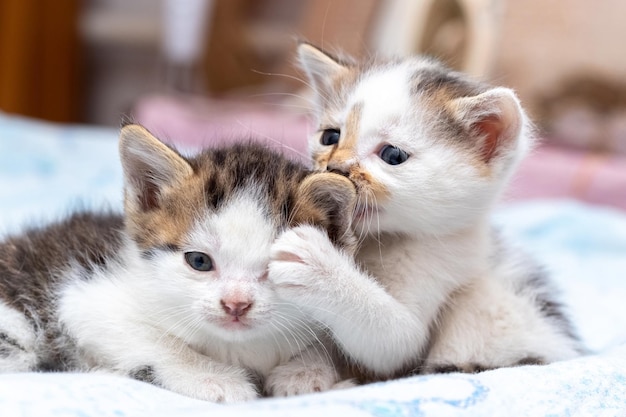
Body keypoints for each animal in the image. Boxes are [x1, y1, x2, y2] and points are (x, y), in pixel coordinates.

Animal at [0, 123, 356, 400]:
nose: (236, 304)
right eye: (199, 261)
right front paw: (215, 379)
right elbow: (156, 340)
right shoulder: (82, 296)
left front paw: (305, 371)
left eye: (276, 268)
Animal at [266, 44, 584, 378]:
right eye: (330, 137)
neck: (379, 240)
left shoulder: (440, 272)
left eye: (393, 155)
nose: (335, 168)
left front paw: (320, 267)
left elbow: (394, 339)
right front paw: (303, 371)